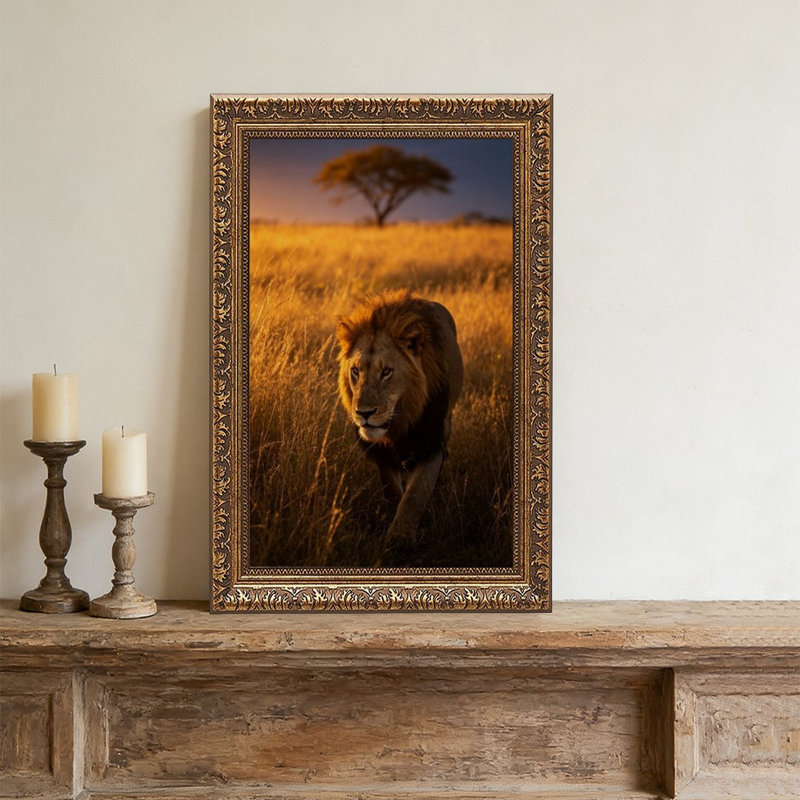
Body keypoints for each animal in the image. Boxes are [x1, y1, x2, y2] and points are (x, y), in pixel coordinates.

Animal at [336, 289, 463, 540]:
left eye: (386, 372)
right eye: (355, 371)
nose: (364, 413)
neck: (401, 419)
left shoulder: (429, 442)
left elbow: (415, 495)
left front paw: (400, 538)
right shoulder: (381, 451)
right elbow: (392, 490)